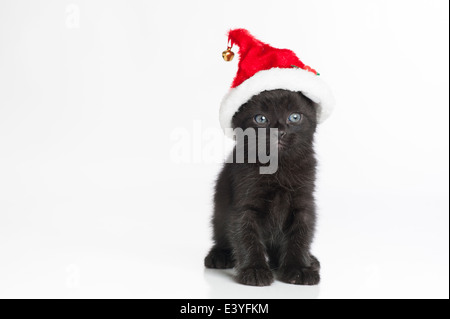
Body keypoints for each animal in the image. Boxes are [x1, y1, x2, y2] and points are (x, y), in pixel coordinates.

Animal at [204, 89, 320, 286]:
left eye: (294, 117)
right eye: (260, 119)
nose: (279, 132)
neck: (277, 167)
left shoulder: (303, 202)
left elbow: (301, 233)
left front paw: (299, 268)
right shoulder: (245, 202)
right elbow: (245, 234)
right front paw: (254, 269)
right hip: (218, 213)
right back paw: (219, 255)